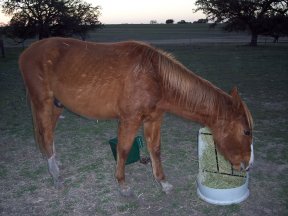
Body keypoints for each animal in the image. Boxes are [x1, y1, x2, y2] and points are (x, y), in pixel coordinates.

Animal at [18, 37, 253, 196]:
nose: (247, 164)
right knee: (46, 134)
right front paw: (122, 184)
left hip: (57, 106)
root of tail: (27, 52)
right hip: (42, 103)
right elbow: (123, 149)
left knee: (48, 135)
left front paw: (162, 182)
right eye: (245, 131)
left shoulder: (154, 119)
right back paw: (55, 175)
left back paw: (54, 163)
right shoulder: (129, 120)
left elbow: (155, 150)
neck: (155, 76)